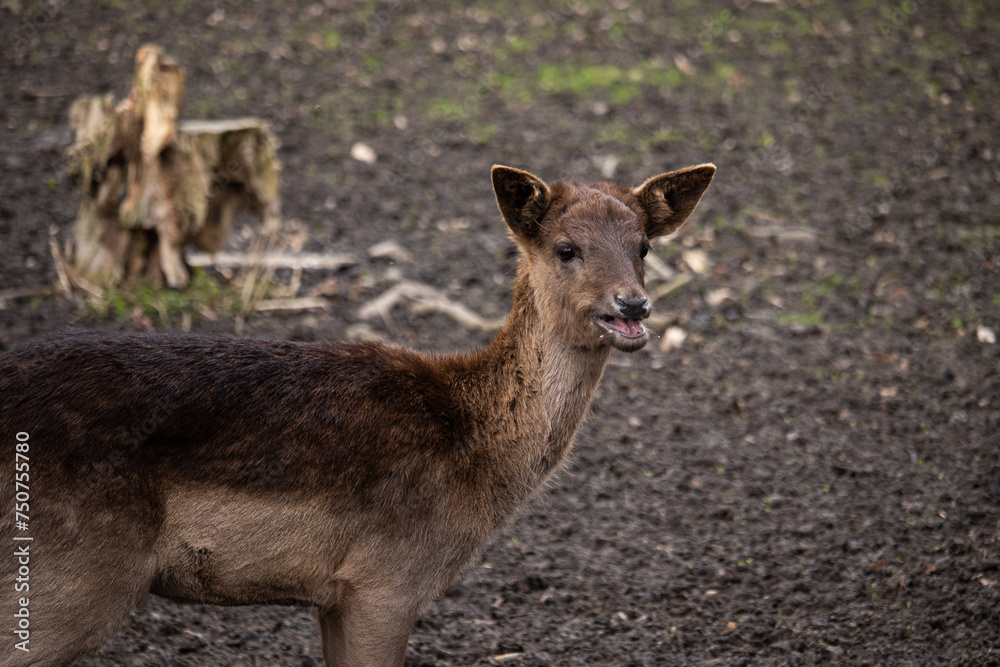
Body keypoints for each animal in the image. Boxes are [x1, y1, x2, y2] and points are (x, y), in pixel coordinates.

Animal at [3, 163, 716, 667]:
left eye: (644, 246)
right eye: (566, 248)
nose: (632, 306)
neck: (477, 458)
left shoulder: (334, 594)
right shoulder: (387, 579)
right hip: (71, 576)